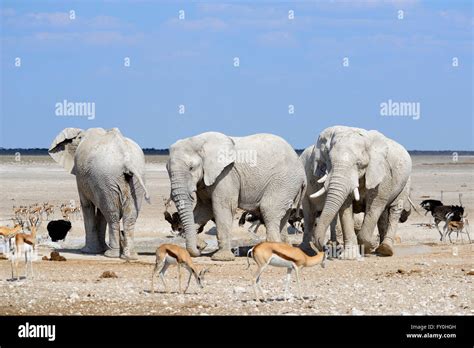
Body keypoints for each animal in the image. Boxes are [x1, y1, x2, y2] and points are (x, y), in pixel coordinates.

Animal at [48, 127, 148, 258]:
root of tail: (126, 159)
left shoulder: (82, 179)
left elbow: (87, 206)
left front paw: (88, 251)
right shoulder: (99, 186)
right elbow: (100, 211)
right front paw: (99, 249)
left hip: (107, 177)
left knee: (112, 215)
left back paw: (111, 254)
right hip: (134, 178)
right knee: (129, 216)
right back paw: (130, 255)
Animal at [167, 132, 308, 260]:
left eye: (191, 168)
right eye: (167, 170)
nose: (200, 248)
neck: (198, 140)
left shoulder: (226, 174)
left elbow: (223, 206)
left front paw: (221, 258)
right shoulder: (206, 178)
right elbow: (204, 210)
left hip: (284, 181)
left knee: (269, 210)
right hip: (289, 186)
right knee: (283, 216)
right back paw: (286, 251)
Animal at [306, 125, 412, 256]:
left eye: (359, 164)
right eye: (330, 161)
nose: (325, 246)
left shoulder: (382, 173)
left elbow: (375, 205)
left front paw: (367, 248)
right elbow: (346, 207)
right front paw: (350, 255)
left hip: (406, 181)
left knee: (395, 209)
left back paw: (386, 249)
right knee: (382, 214)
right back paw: (380, 249)